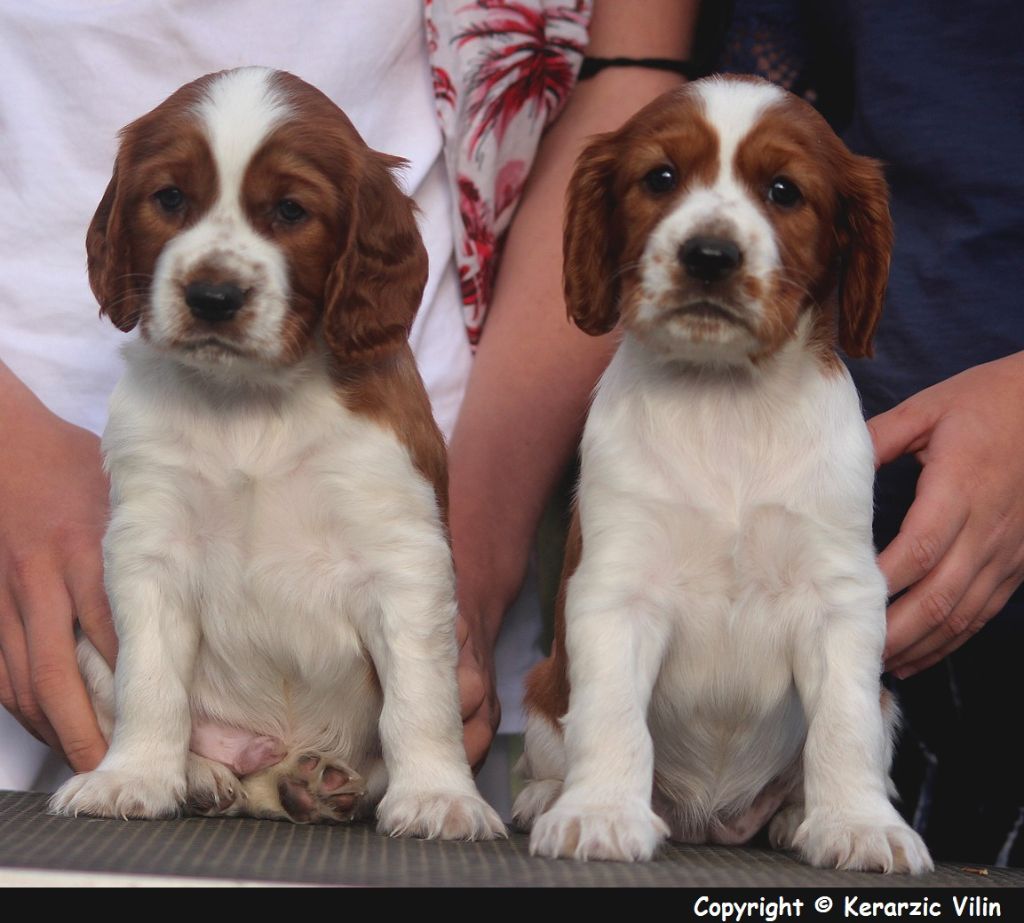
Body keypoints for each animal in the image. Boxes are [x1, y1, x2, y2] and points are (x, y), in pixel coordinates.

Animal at [49, 68, 505, 840]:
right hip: (88, 647)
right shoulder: (148, 551)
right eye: (170, 198)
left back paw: (316, 785)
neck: (252, 400)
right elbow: (151, 683)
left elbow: (419, 697)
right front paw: (132, 777)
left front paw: (439, 795)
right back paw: (208, 776)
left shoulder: (404, 559)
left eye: (291, 210)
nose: (212, 296)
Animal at [512, 73, 937, 872]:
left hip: (886, 704)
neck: (726, 399)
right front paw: (599, 814)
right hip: (543, 690)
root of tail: (712, 821)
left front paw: (861, 825)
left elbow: (844, 724)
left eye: (784, 191)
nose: (709, 255)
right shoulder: (617, 587)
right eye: (660, 178)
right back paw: (548, 796)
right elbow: (611, 711)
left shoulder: (841, 597)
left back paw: (796, 814)